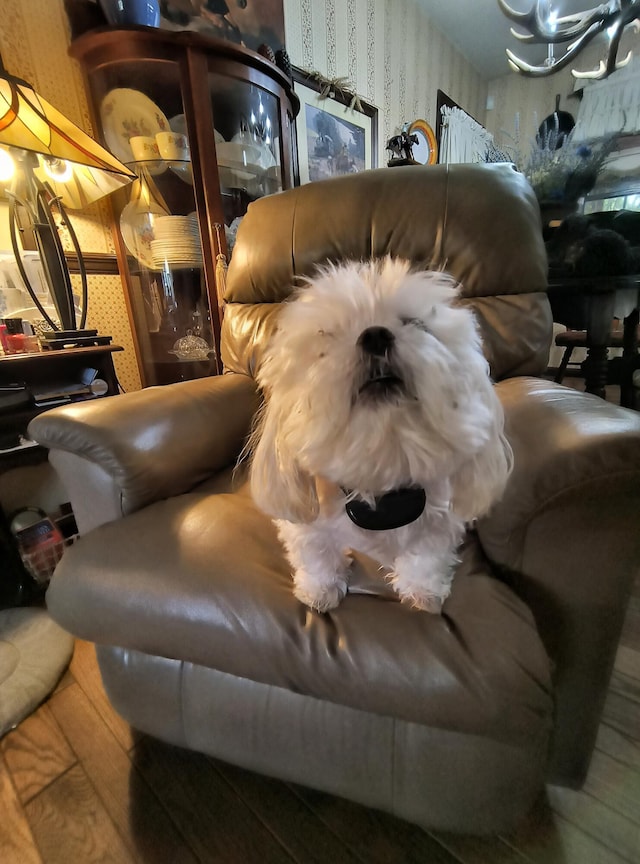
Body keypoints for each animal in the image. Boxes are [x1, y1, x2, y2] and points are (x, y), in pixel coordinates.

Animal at [248, 256, 512, 616]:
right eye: (326, 336)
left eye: (414, 322)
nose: (375, 335)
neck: (382, 467)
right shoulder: (309, 524)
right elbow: (317, 555)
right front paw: (320, 589)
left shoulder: (439, 524)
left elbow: (426, 556)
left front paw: (422, 591)